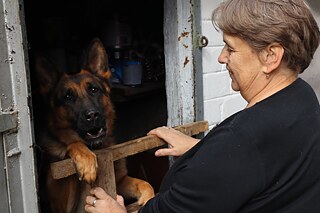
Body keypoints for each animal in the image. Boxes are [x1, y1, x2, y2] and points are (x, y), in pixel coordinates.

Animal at [33, 38, 155, 213]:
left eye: (93, 89)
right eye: (67, 97)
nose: (92, 116)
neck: (95, 148)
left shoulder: (119, 181)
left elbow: (145, 183)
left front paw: (147, 198)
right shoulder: (60, 204)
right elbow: (74, 143)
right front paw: (86, 160)